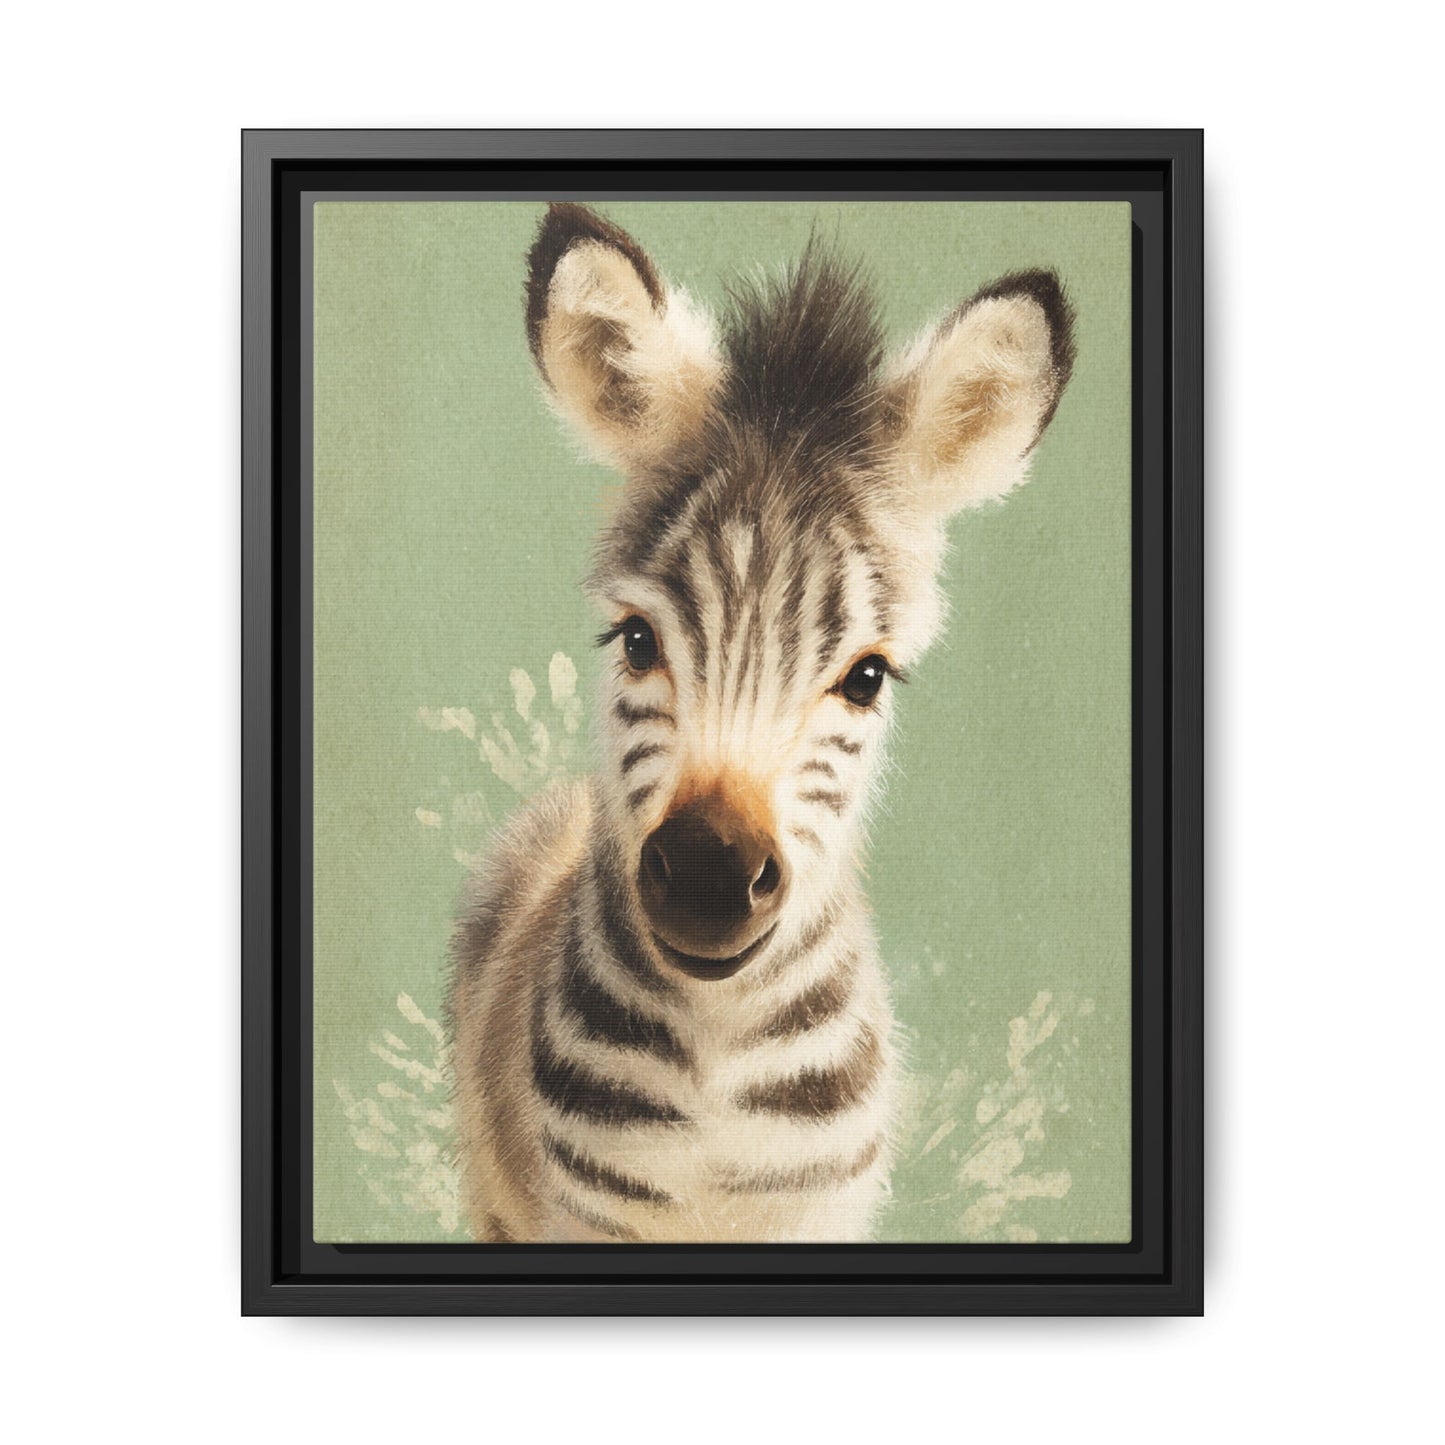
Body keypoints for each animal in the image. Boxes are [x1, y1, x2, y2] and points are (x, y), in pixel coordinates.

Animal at [449, 203, 1075, 1243]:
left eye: (865, 677)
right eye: (635, 639)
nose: (709, 878)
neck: (719, 1061)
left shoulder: (821, 1212)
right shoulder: (580, 1212)